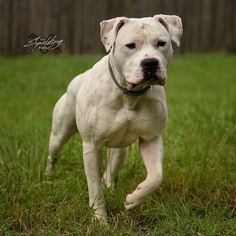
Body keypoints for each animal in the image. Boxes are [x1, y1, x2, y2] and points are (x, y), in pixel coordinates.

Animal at [45, 14, 183, 221]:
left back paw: (110, 187)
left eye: (161, 43)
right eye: (130, 45)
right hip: (60, 133)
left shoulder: (151, 139)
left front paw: (135, 198)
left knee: (111, 170)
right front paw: (100, 219)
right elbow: (94, 187)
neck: (128, 94)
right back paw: (48, 177)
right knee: (53, 153)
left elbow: (156, 176)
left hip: (120, 151)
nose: (150, 63)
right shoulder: (91, 147)